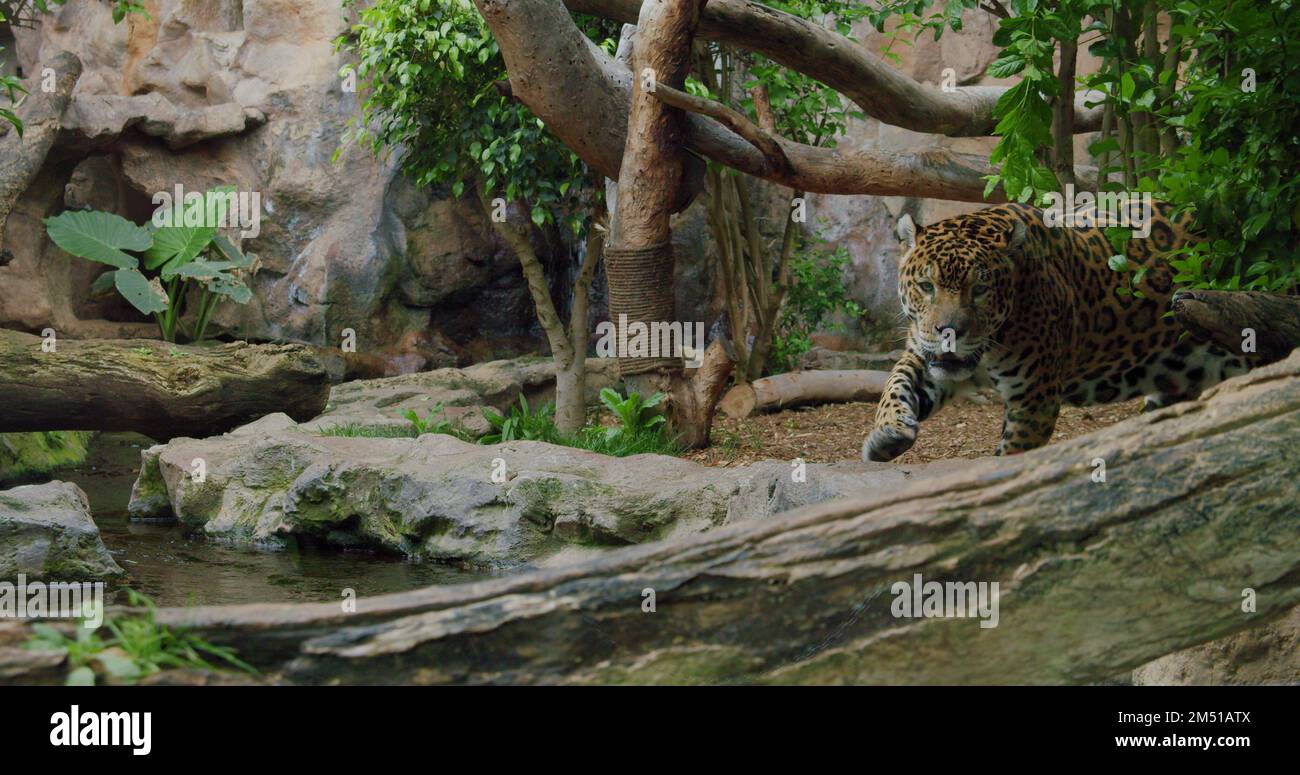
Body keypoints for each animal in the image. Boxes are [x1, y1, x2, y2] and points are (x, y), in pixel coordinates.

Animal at [863, 200, 1256, 462]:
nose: (950, 332)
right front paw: (887, 434)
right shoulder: (923, 354)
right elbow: (895, 383)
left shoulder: (1034, 398)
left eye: (980, 289)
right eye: (926, 287)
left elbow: (1013, 456)